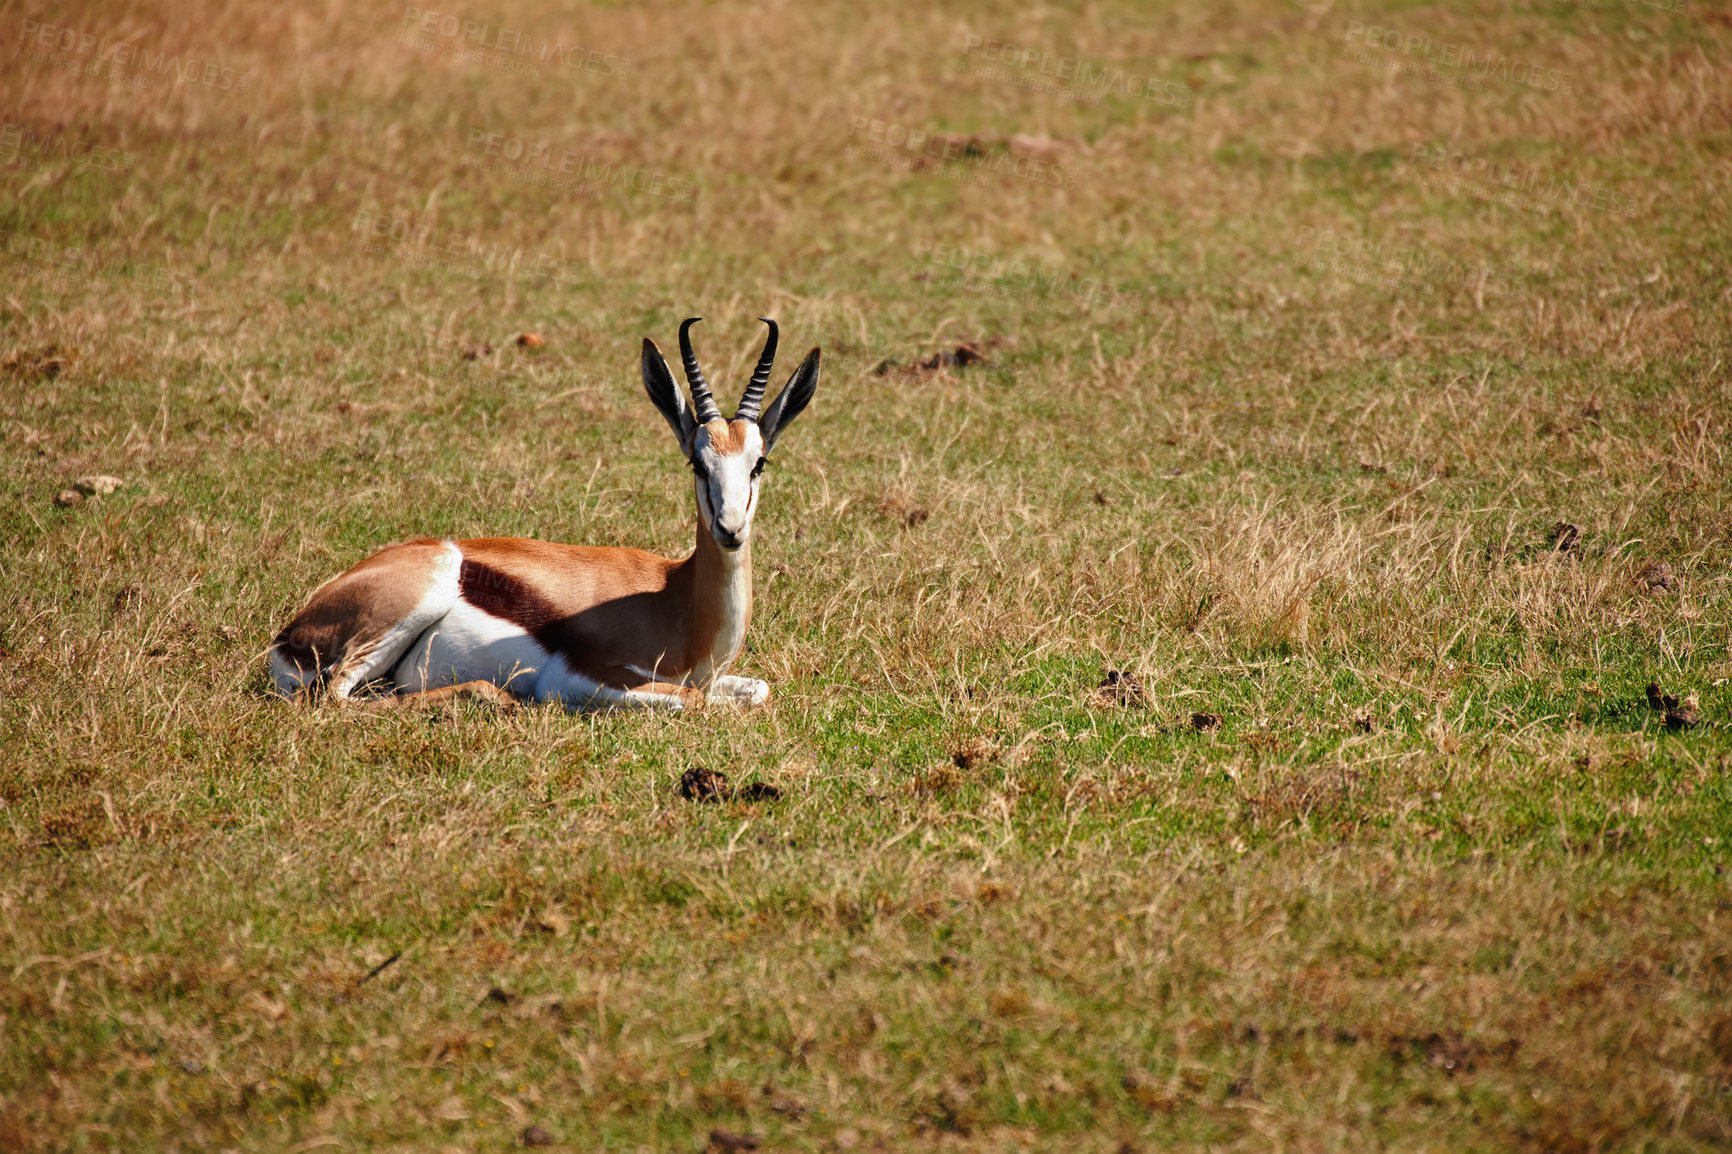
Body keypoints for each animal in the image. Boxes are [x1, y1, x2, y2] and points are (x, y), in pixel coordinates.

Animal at [264, 318, 817, 706]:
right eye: (697, 462)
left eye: (758, 462)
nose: (730, 528)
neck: (677, 602)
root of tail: (290, 634)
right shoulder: (579, 677)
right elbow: (694, 701)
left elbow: (757, 690)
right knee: (334, 697)